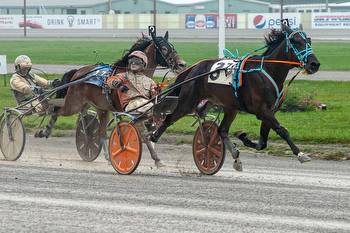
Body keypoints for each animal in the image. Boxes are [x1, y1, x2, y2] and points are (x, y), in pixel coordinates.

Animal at [36, 31, 186, 166]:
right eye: (164, 48)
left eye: (173, 47)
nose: (182, 64)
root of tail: (77, 73)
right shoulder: (132, 110)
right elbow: (143, 134)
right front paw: (156, 158)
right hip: (73, 104)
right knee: (56, 110)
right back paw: (44, 130)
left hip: (100, 108)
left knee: (99, 130)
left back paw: (104, 153)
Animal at [150, 24, 320, 171]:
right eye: (295, 41)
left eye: (308, 40)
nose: (314, 64)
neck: (267, 71)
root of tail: (193, 69)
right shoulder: (262, 111)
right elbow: (282, 130)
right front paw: (301, 154)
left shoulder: (269, 111)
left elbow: (263, 142)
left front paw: (243, 137)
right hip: (188, 102)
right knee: (168, 119)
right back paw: (152, 143)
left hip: (230, 107)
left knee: (222, 130)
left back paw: (234, 155)